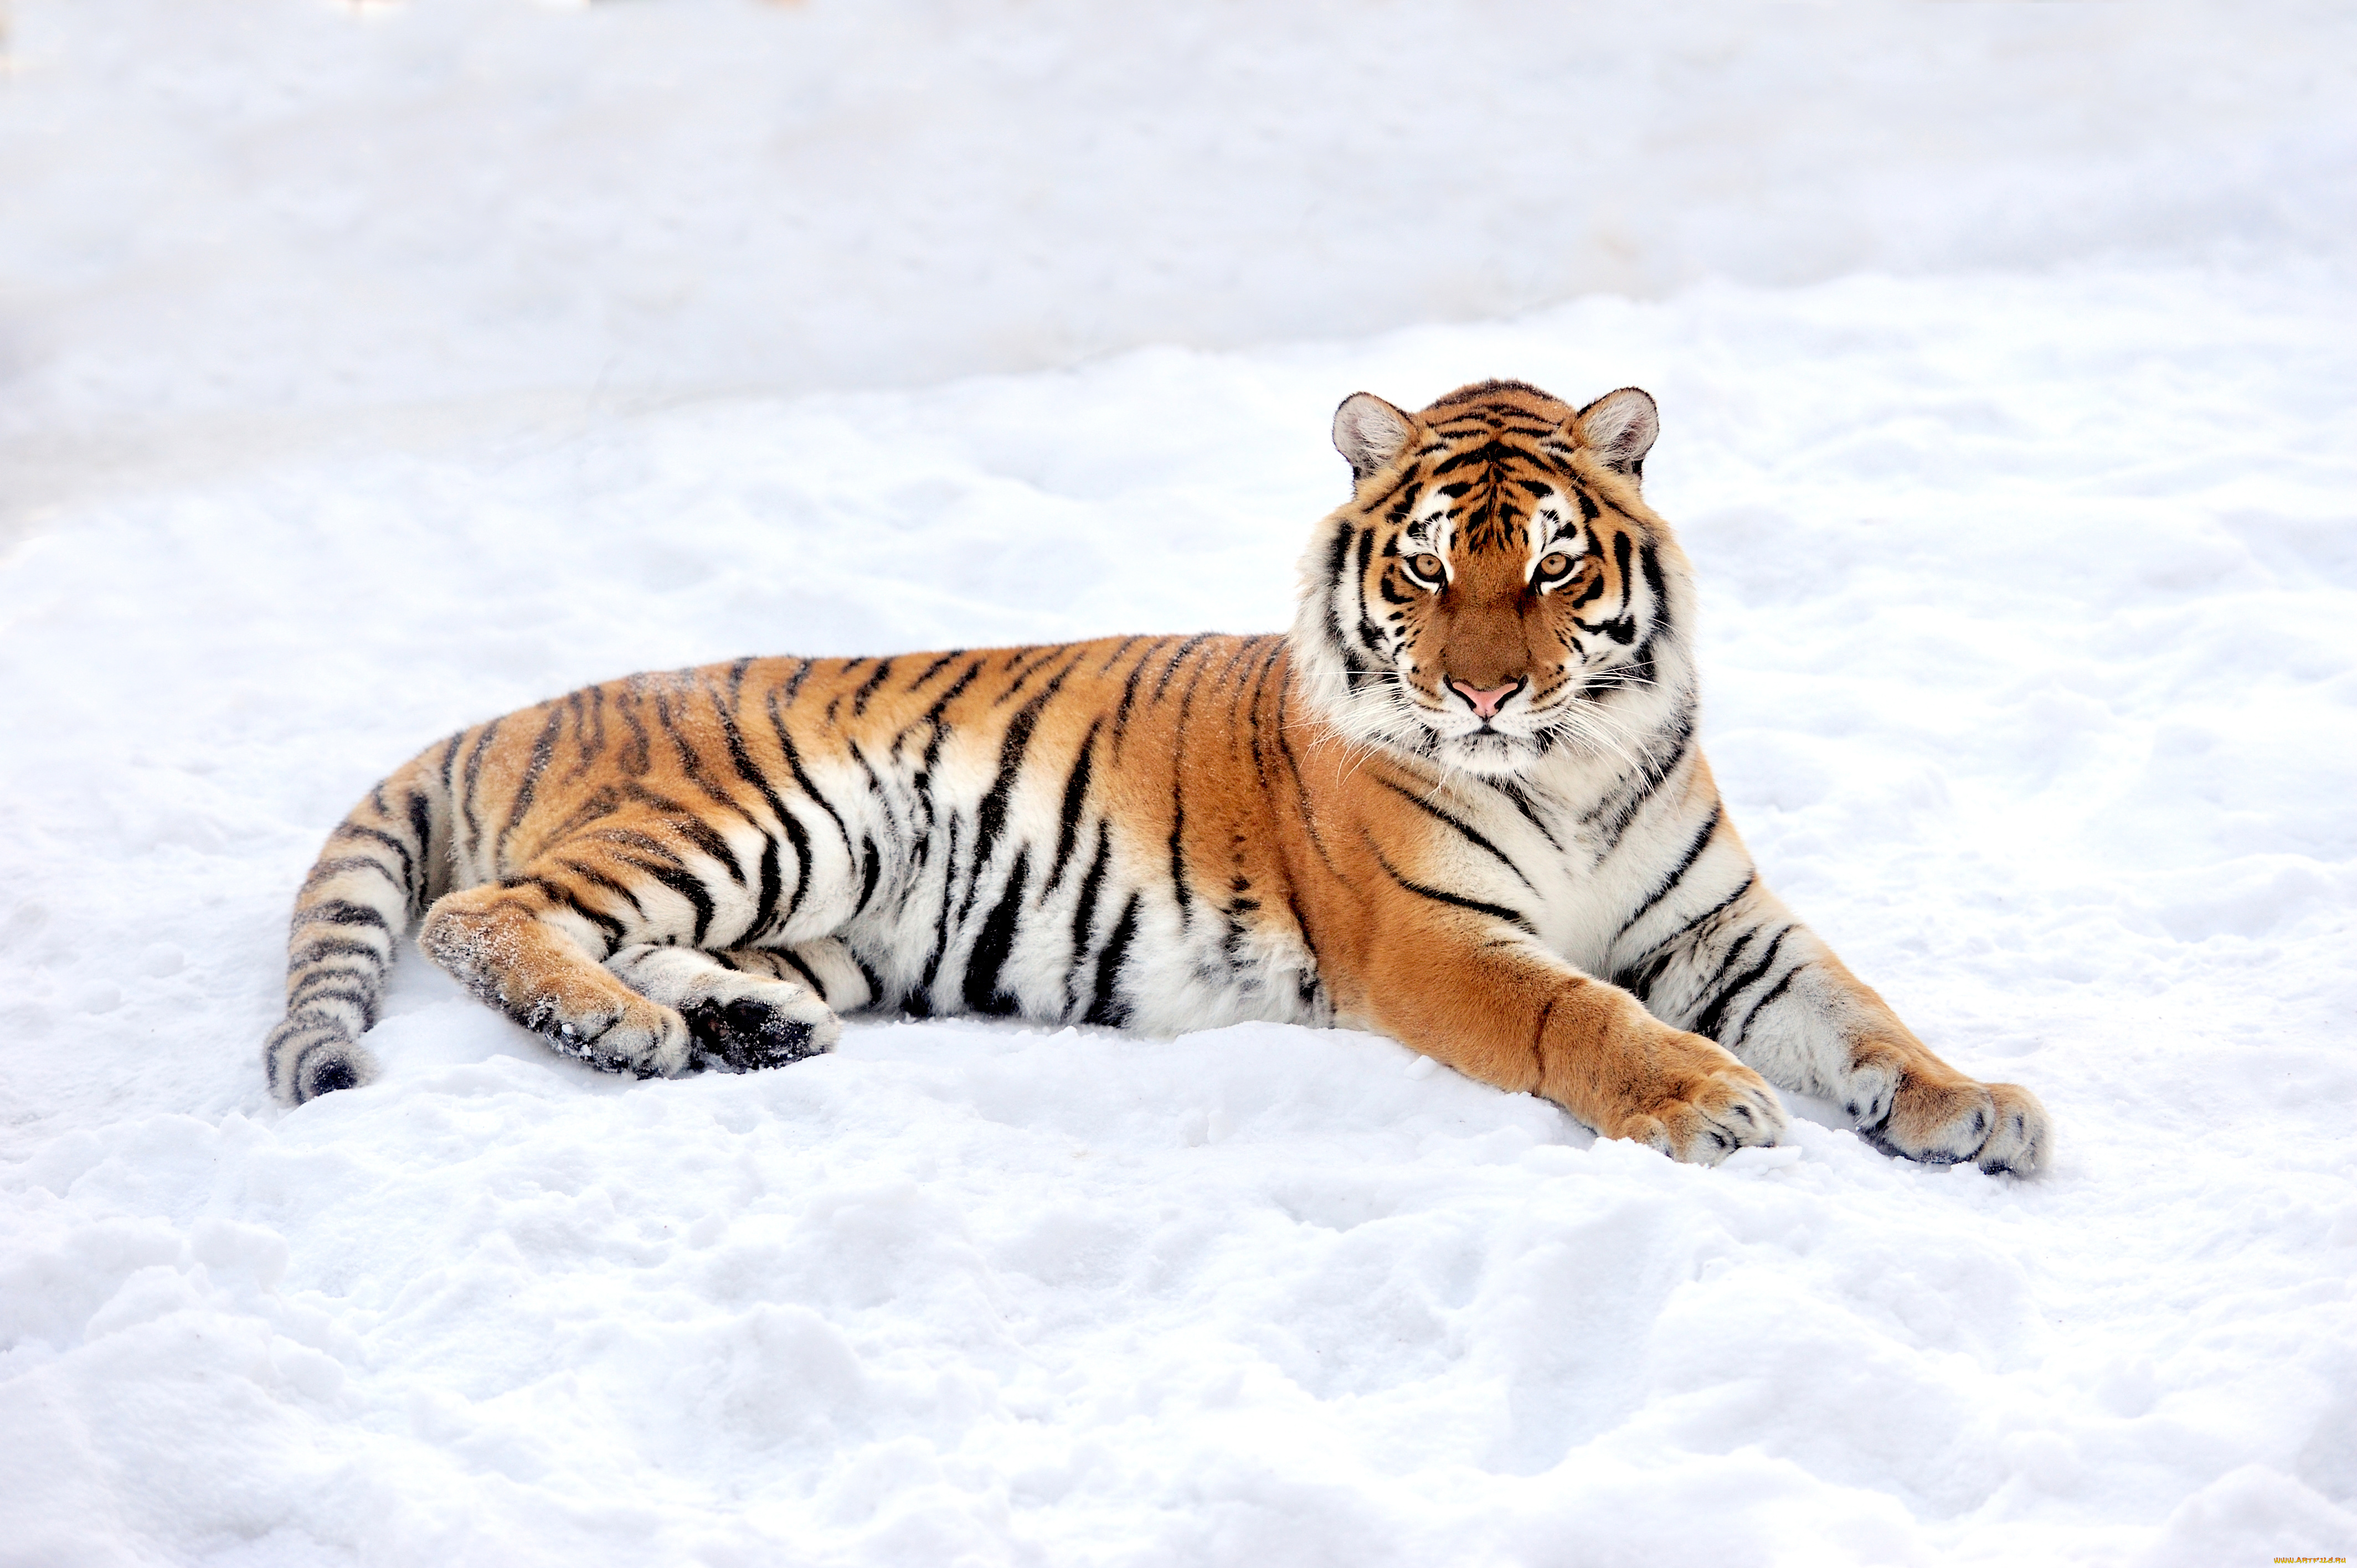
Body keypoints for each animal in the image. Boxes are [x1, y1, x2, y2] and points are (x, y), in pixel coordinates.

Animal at [263, 378, 2051, 1174]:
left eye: (1548, 568)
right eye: (1423, 568)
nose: (1480, 688)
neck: (1572, 759)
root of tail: (528, 705)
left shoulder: (1721, 923)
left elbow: (1858, 1011)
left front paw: (1970, 1105)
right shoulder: (1433, 937)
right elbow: (1582, 1015)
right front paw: (1707, 1101)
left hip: (812, 916)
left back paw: (739, 1028)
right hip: (762, 814)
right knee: (492, 917)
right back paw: (627, 1030)